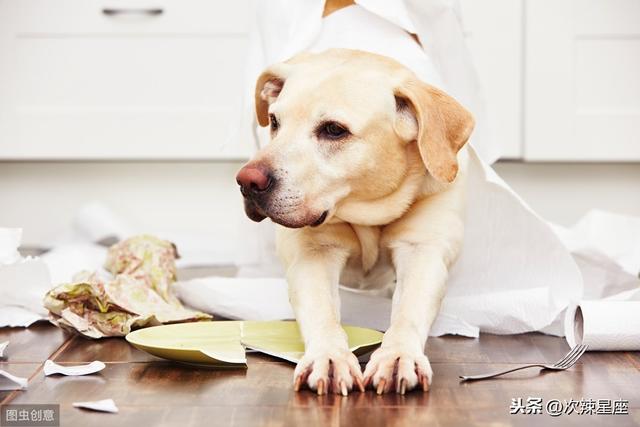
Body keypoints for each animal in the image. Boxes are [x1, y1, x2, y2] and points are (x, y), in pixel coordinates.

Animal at [236, 48, 476, 396]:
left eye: (334, 130)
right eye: (274, 122)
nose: (247, 181)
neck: (368, 211)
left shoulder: (422, 250)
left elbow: (408, 310)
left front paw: (398, 355)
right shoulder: (314, 253)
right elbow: (322, 311)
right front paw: (328, 356)